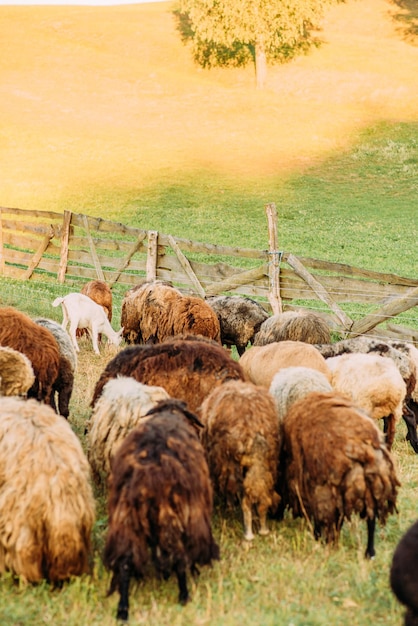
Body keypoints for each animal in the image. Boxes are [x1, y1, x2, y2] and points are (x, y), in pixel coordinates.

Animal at [103, 398, 219, 616]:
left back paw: (123, 608)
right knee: (179, 557)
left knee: (124, 562)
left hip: (125, 518)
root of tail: (147, 474)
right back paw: (184, 596)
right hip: (171, 516)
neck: (171, 413)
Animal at [200, 378, 280, 540]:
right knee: (261, 499)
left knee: (245, 500)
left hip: (230, 465)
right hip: (264, 469)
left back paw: (247, 532)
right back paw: (262, 529)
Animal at [280, 390, 400, 556]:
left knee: (332, 516)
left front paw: (319, 538)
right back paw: (369, 553)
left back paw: (330, 542)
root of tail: (364, 448)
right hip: (373, 483)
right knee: (370, 517)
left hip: (333, 487)